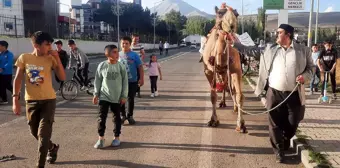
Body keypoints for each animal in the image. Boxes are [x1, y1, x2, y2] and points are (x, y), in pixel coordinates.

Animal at [201, 3, 246, 133]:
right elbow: (213, 96)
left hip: (228, 72)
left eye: (237, 14)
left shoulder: (236, 70)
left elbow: (239, 95)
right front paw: (213, 121)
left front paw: (241, 124)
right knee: (224, 85)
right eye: (219, 13)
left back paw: (234, 107)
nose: (231, 25)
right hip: (220, 72)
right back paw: (222, 103)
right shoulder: (208, 71)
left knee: (229, 86)